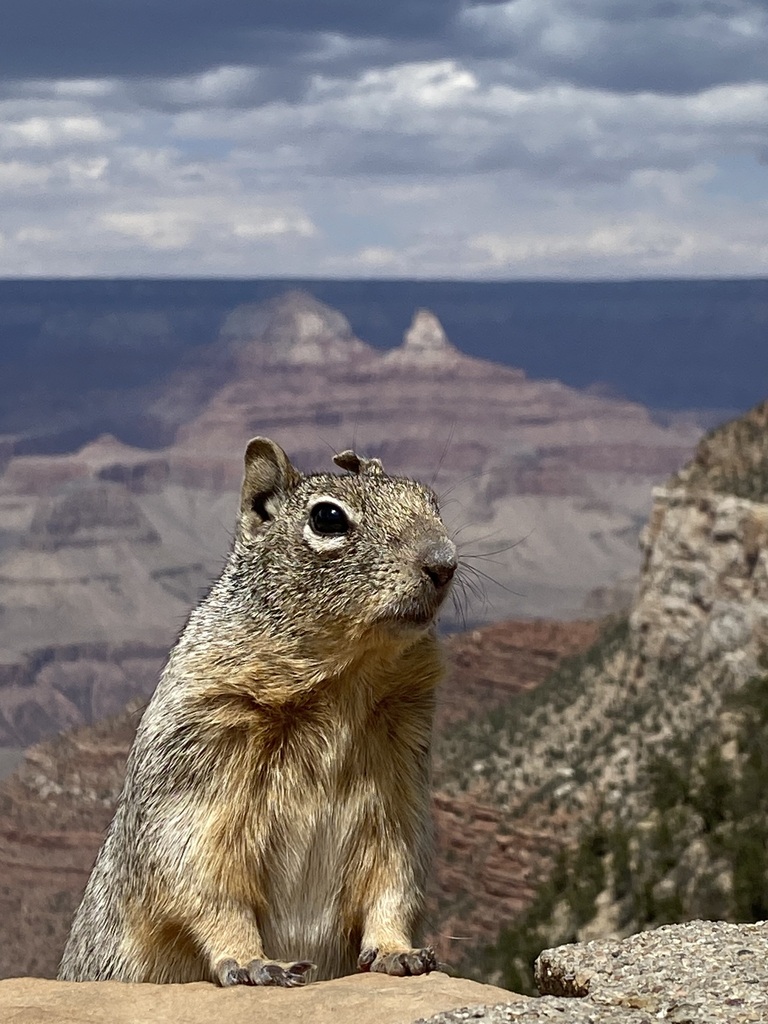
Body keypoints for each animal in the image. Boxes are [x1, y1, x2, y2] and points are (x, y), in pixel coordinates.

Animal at [58, 437, 458, 987]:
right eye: (328, 518)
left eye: (431, 500)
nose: (445, 562)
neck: (345, 685)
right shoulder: (201, 764)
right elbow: (206, 882)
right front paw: (253, 963)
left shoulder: (401, 789)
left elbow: (394, 878)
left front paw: (399, 952)